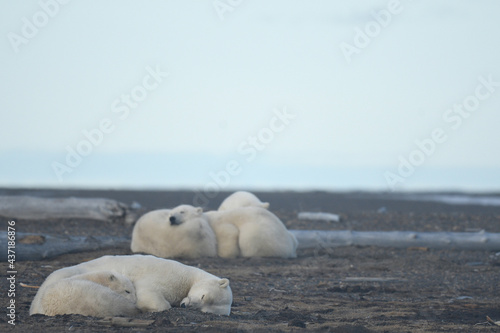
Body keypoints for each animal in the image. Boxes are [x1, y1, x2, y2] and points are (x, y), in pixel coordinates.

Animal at [33, 255, 232, 316]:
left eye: (205, 309)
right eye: (204, 296)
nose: (186, 305)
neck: (189, 276)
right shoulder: (167, 276)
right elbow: (151, 294)